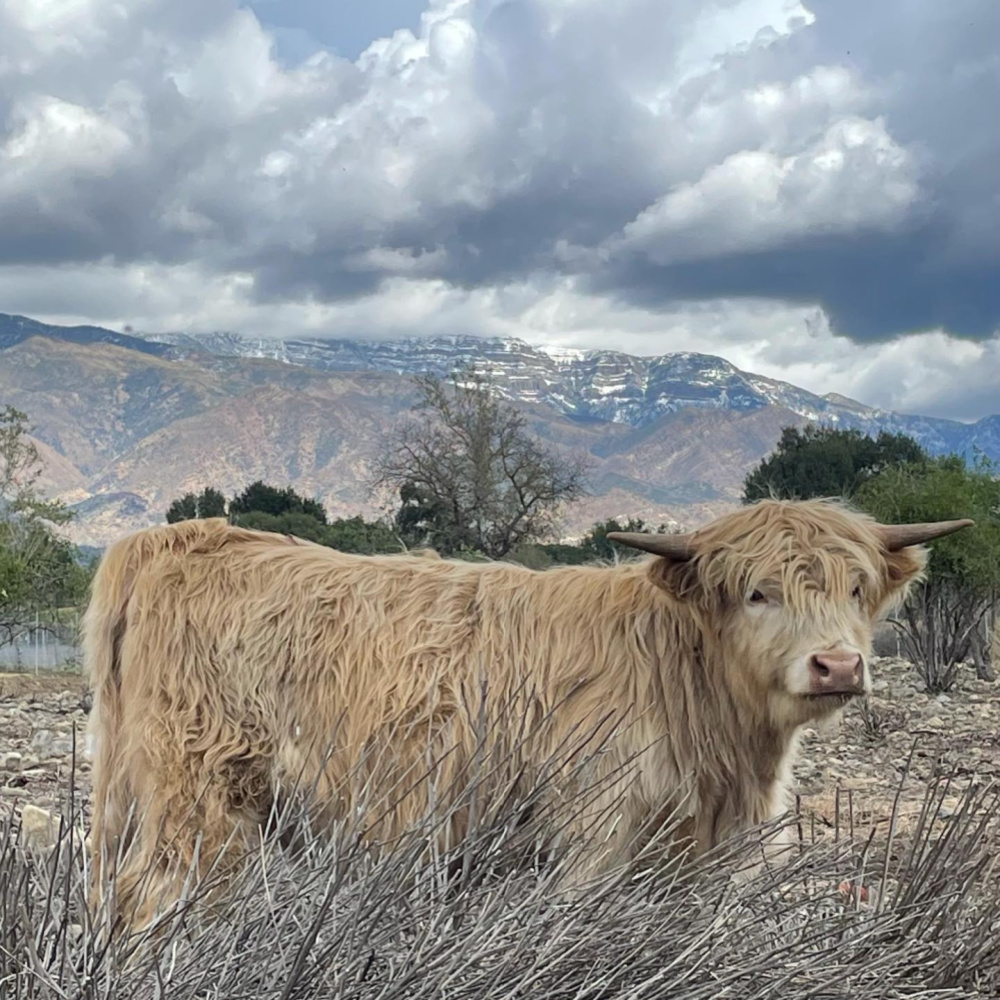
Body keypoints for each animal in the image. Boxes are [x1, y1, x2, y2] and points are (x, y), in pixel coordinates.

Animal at [82, 504, 972, 932]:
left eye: (857, 589)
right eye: (758, 593)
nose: (838, 666)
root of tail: (182, 540)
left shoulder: (701, 852)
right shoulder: (593, 830)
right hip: (198, 794)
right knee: (156, 899)